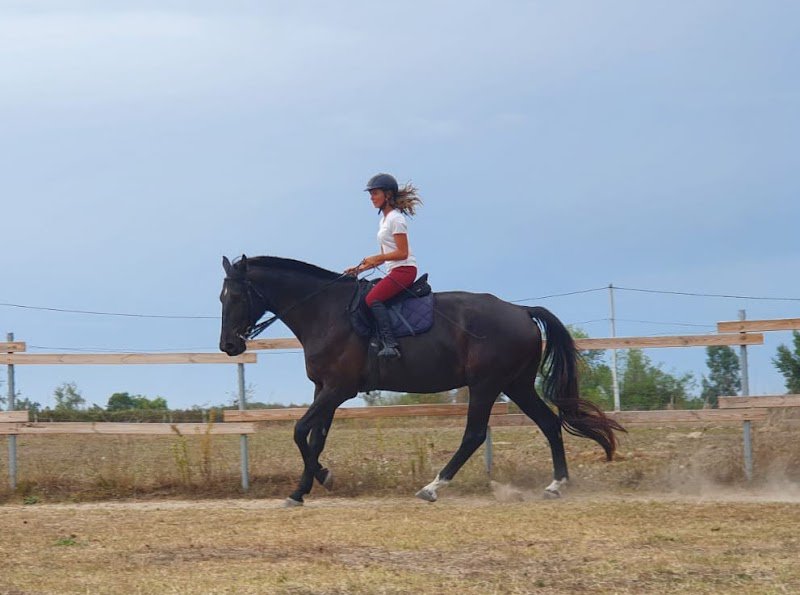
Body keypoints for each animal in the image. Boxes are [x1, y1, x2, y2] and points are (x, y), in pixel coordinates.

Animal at [219, 255, 624, 506]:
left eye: (235, 295)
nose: (228, 346)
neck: (325, 312)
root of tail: (521, 311)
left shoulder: (337, 389)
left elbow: (300, 431)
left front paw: (319, 479)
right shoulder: (324, 389)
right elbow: (315, 439)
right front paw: (305, 487)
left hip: (486, 385)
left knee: (475, 435)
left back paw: (432, 487)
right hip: (517, 385)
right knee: (549, 423)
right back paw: (556, 485)